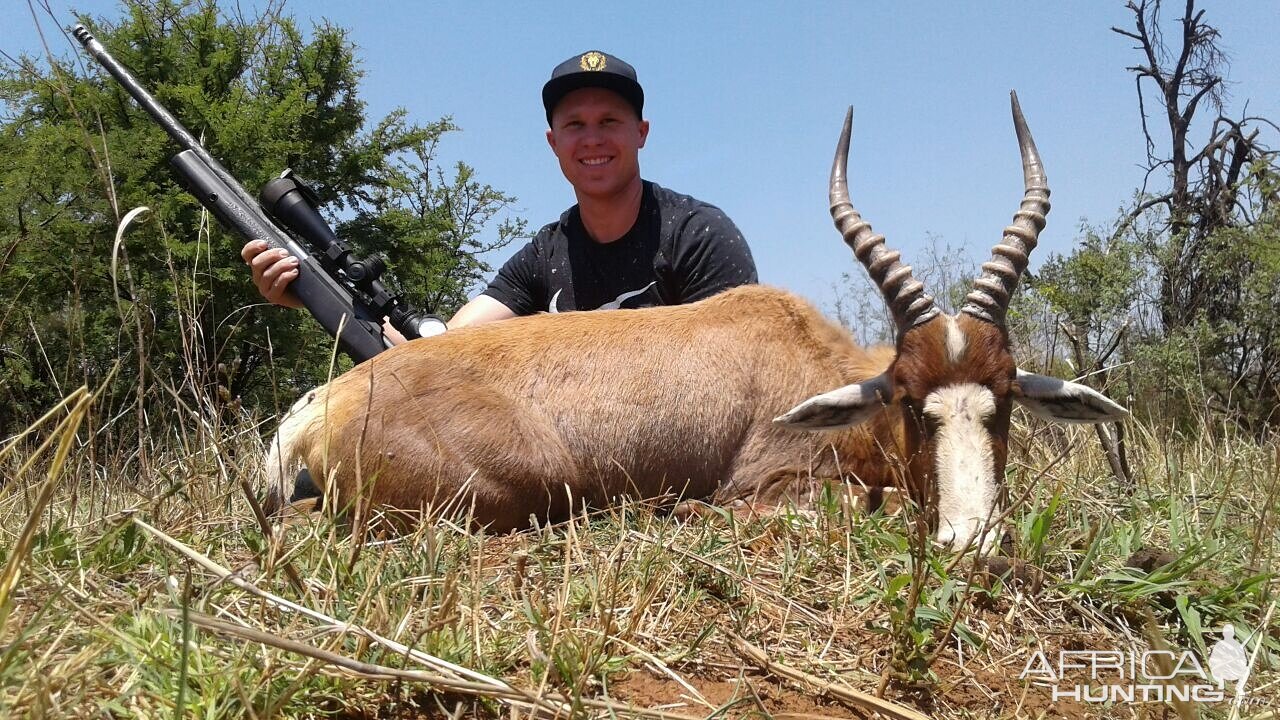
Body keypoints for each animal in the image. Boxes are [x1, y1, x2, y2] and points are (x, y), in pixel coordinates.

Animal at [264, 92, 1126, 545]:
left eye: (1005, 398)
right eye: (912, 401)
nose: (969, 537)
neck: (814, 360)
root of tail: (324, 403)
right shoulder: (770, 484)